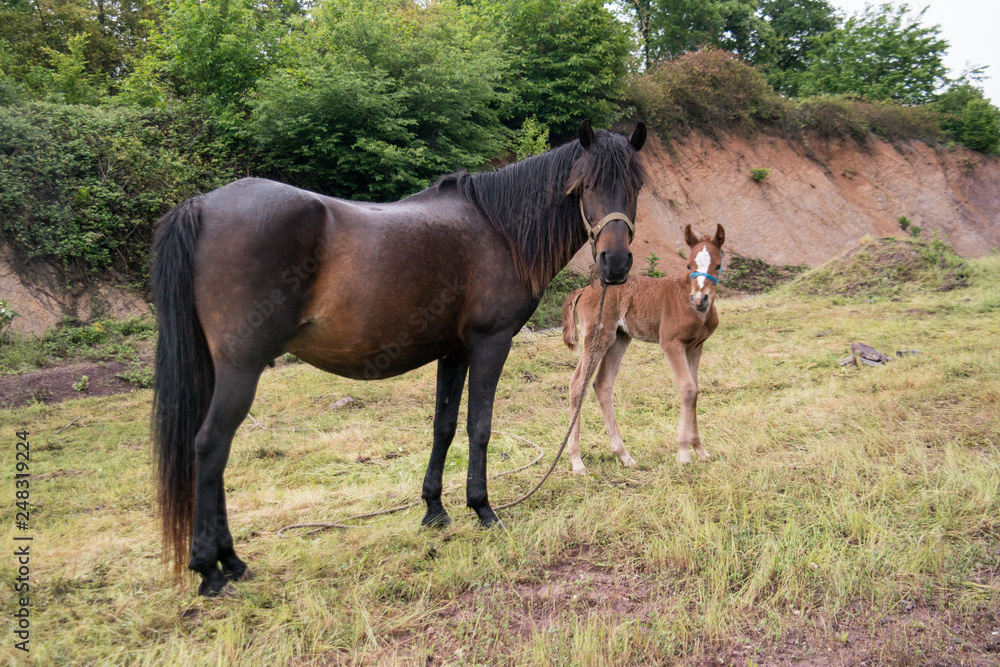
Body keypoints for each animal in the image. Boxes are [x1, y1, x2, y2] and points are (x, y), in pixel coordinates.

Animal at [151, 120, 647, 595]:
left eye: (636, 185)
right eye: (585, 185)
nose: (616, 263)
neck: (498, 229)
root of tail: (201, 206)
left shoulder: (454, 351)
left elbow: (444, 427)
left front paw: (434, 509)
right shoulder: (490, 343)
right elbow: (480, 427)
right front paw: (483, 509)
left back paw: (230, 562)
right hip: (240, 369)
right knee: (210, 447)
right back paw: (211, 568)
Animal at [560, 223, 725, 475]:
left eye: (717, 265)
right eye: (689, 265)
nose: (700, 299)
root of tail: (585, 289)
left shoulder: (696, 346)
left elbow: (695, 389)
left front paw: (700, 451)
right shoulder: (671, 343)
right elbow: (687, 388)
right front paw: (683, 453)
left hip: (619, 338)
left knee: (603, 383)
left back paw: (623, 455)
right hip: (598, 336)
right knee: (578, 383)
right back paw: (577, 461)